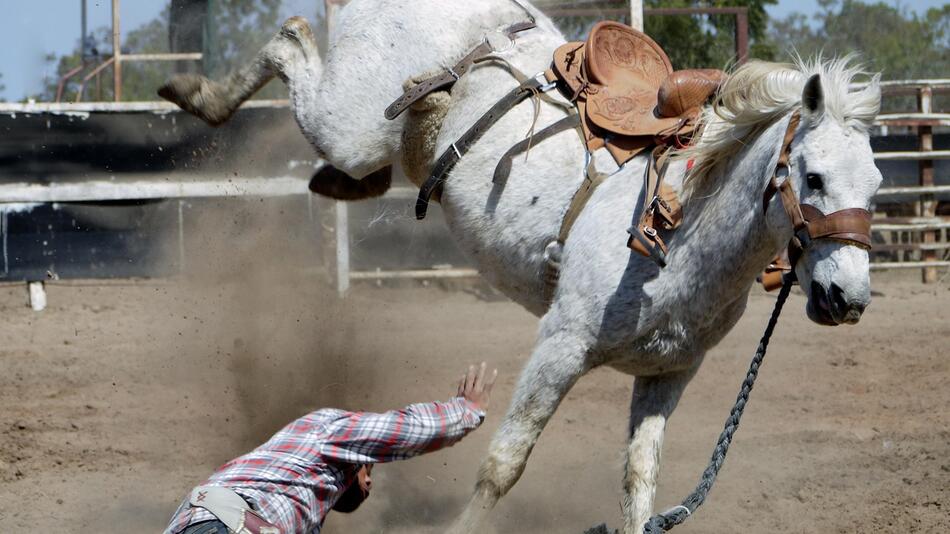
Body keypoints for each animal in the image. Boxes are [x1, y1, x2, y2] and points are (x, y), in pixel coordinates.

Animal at [162, 2, 884, 532]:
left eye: (876, 185)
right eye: (813, 177)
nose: (846, 297)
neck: (682, 229)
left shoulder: (668, 373)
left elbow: (639, 482)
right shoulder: (559, 347)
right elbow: (504, 465)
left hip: (372, 140)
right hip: (350, 122)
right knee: (291, 39)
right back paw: (195, 91)